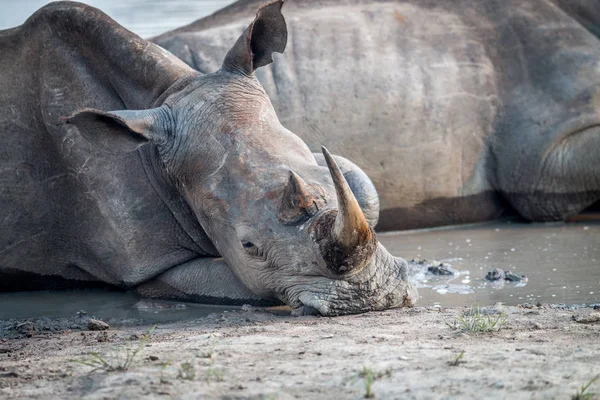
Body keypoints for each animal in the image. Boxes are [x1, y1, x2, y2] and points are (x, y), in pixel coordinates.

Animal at [0, 1, 418, 318]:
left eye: (320, 172)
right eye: (248, 246)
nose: (372, 296)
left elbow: (363, 185)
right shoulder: (151, 264)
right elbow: (247, 286)